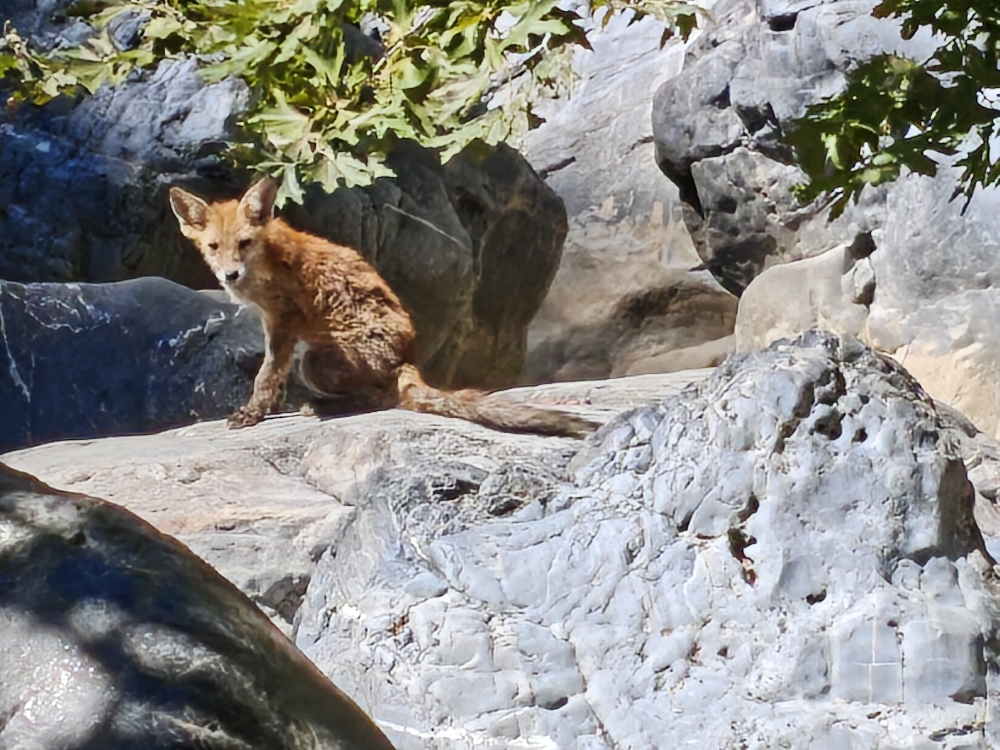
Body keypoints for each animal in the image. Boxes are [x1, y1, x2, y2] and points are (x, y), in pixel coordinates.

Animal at [169, 177, 599, 437]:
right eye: (213, 247)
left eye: (244, 243)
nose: (230, 275)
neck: (265, 264)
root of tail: (408, 357)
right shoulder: (273, 325)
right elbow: (272, 377)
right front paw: (267, 409)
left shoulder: (284, 322)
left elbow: (266, 376)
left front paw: (253, 412)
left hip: (315, 362)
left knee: (381, 398)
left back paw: (321, 405)